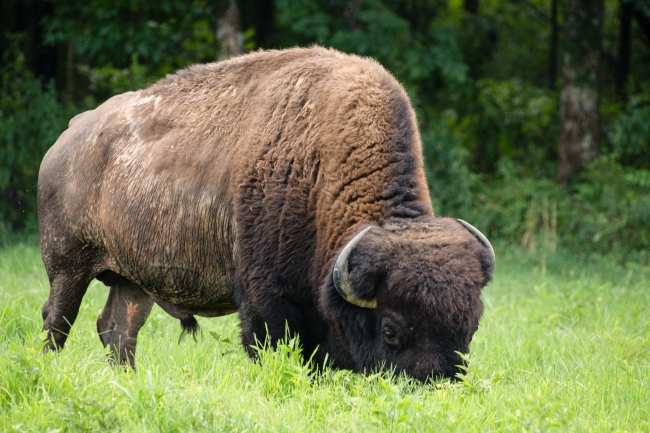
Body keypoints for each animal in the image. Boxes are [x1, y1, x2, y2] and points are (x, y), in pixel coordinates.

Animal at [38, 46, 494, 378]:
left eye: (471, 327)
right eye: (390, 330)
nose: (436, 383)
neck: (321, 165)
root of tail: (65, 140)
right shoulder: (267, 295)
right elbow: (268, 344)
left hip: (133, 280)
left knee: (117, 330)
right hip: (67, 266)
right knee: (57, 321)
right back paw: (47, 372)